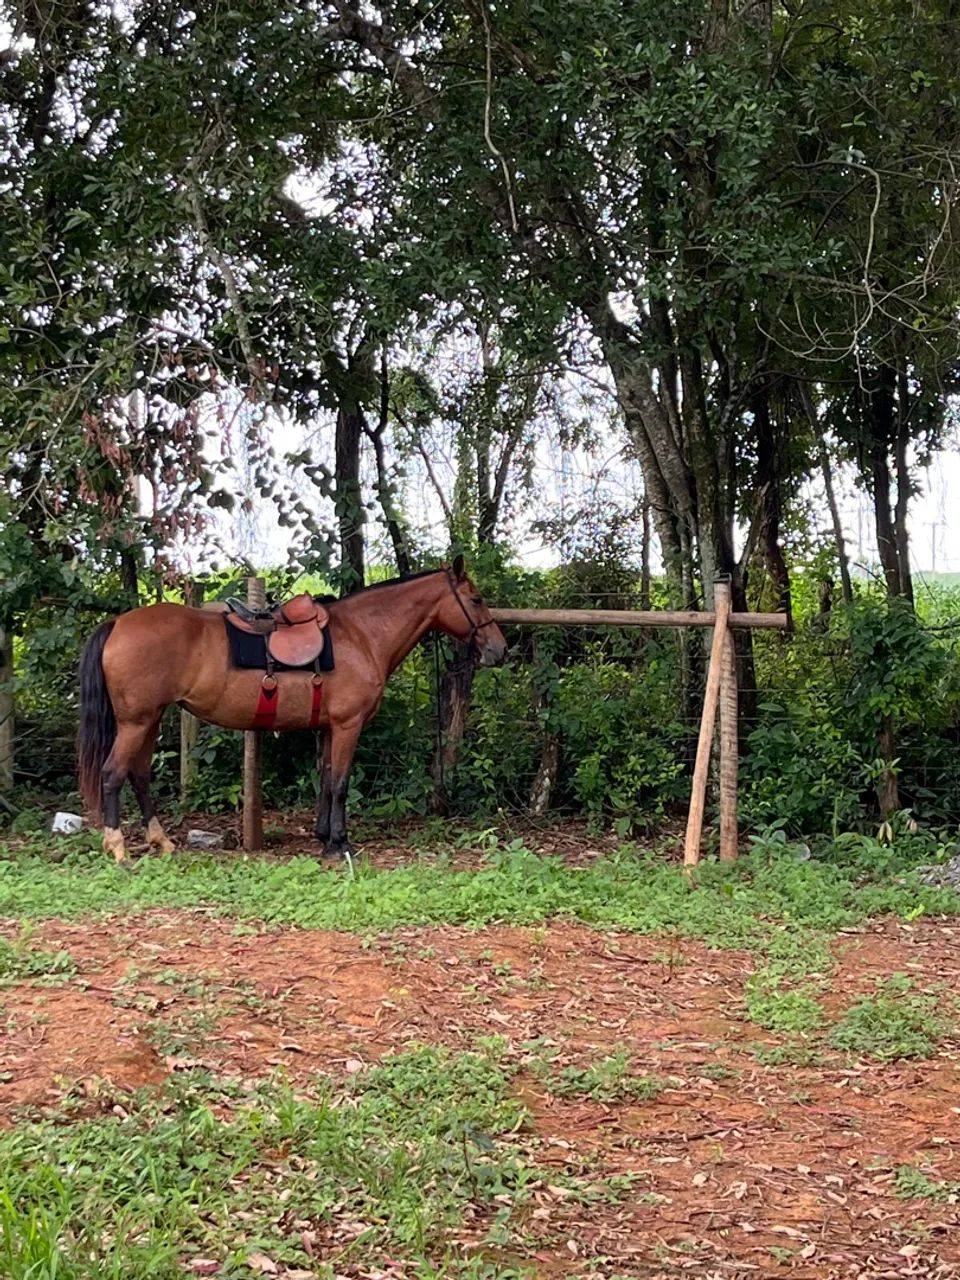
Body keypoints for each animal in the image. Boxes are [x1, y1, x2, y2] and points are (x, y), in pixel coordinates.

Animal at [77, 558, 507, 863]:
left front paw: (324, 837)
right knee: (113, 774)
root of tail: (117, 624)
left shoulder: (330, 728)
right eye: (476, 600)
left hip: (149, 721)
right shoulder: (348, 725)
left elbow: (327, 779)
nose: (499, 650)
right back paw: (118, 846)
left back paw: (161, 841)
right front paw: (339, 844)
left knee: (139, 776)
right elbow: (340, 783)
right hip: (136, 722)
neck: (362, 635)